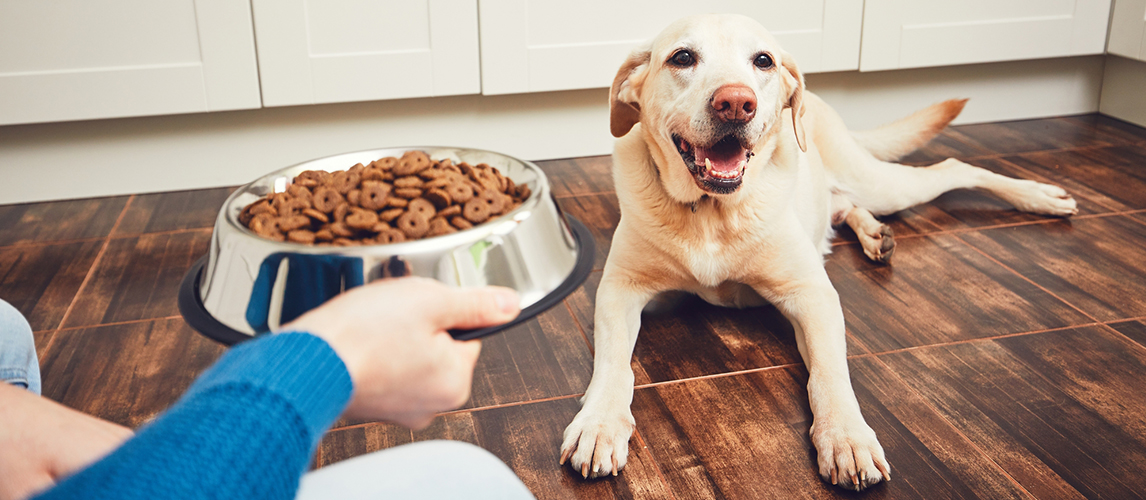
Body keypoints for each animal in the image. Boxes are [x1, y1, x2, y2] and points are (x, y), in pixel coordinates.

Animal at [559, 12, 1077, 493]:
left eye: (762, 61)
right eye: (682, 57)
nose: (736, 103)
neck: (712, 211)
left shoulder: (811, 295)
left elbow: (828, 372)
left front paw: (846, 438)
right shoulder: (620, 290)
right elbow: (613, 365)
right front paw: (599, 424)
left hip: (882, 182)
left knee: (952, 167)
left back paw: (1040, 197)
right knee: (846, 206)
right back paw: (875, 235)